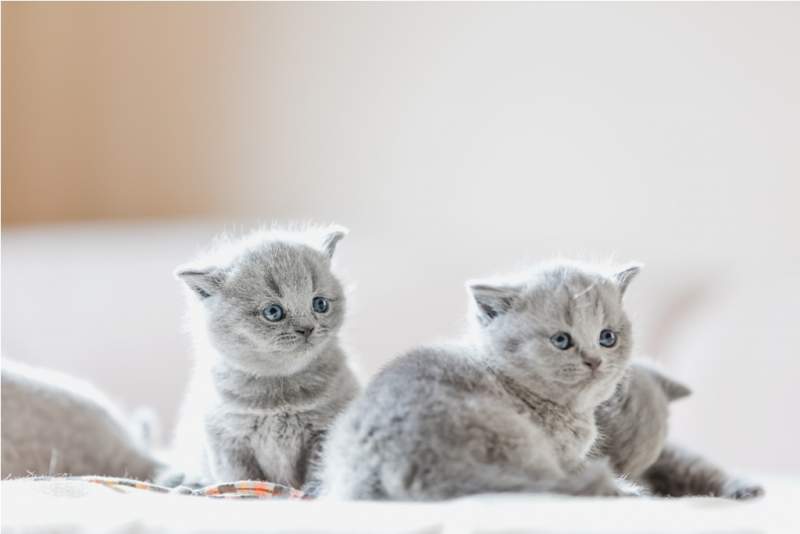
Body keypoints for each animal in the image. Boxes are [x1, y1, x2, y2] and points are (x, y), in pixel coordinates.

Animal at [162, 224, 360, 492]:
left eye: (320, 304)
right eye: (273, 312)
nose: (307, 328)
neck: (279, 391)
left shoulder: (326, 428)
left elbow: (320, 468)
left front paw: (314, 491)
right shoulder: (227, 440)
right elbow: (241, 478)